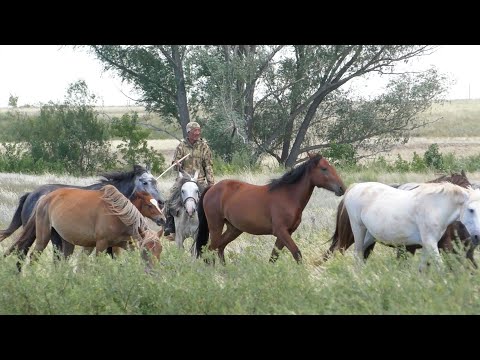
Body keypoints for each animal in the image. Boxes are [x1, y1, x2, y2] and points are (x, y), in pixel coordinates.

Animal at [0, 165, 163, 260]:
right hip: (38, 234)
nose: (161, 202)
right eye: (145, 182)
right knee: (22, 253)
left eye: (156, 181)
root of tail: (31, 195)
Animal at [4, 184, 167, 272]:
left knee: (61, 260)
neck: (118, 214)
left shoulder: (121, 244)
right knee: (32, 256)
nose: (163, 219)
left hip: (66, 241)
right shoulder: (101, 244)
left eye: (159, 250)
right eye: (149, 205)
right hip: (43, 237)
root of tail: (44, 198)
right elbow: (96, 264)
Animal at [193, 152, 346, 264]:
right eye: (324, 169)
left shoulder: (286, 233)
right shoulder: (281, 231)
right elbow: (297, 254)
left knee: (219, 248)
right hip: (216, 226)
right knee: (210, 249)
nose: (342, 188)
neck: (288, 196)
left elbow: (273, 257)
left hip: (234, 229)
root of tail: (212, 188)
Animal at [322, 171, 476, 268]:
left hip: (368, 238)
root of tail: (352, 189)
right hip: (352, 234)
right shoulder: (419, 246)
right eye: (470, 208)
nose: (475, 236)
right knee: (338, 252)